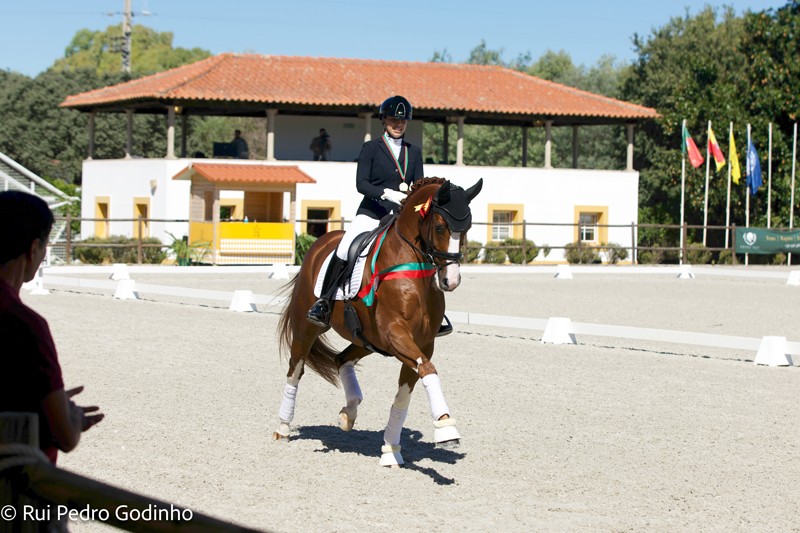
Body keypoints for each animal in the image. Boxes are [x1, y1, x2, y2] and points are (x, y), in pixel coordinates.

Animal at [274, 176, 483, 466]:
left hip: (366, 340)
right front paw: (446, 428)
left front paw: (390, 449)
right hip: (309, 326)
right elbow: (429, 369)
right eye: (440, 226)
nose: (450, 281)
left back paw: (349, 413)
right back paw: (283, 427)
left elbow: (406, 394)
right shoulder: (395, 333)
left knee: (341, 360)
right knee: (296, 369)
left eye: (468, 228)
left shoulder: (422, 343)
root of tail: (321, 243)